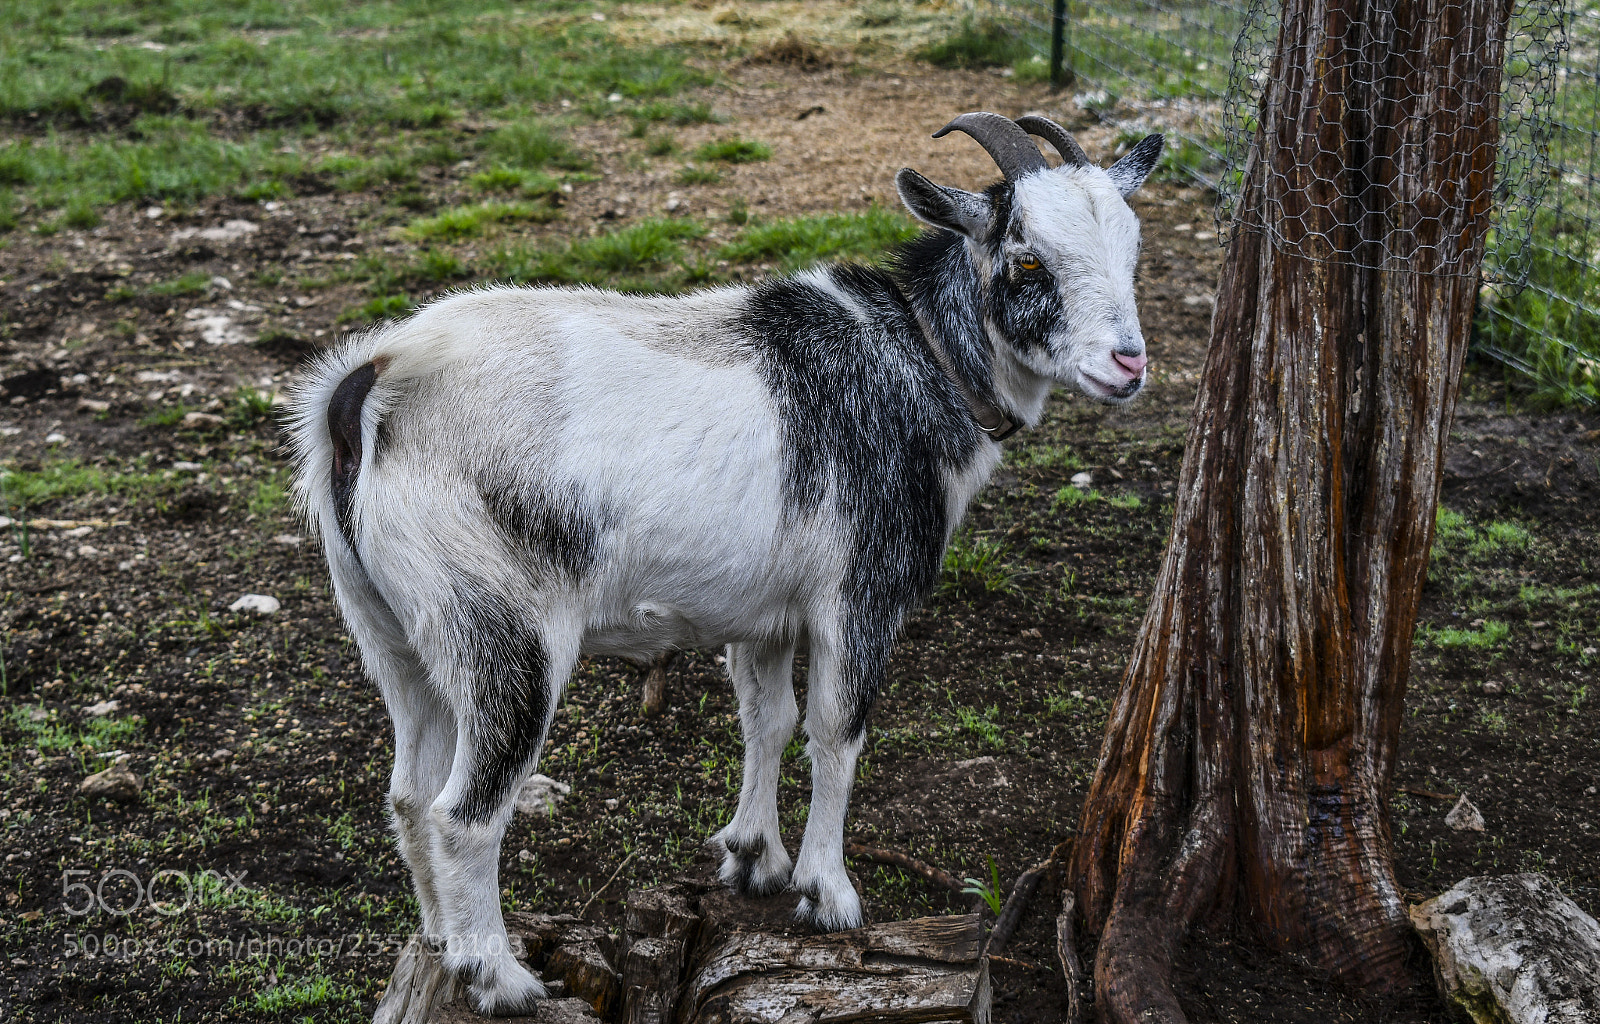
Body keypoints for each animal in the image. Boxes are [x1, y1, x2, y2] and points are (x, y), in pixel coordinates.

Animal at [285, 112, 1162, 1016]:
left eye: (1133, 249)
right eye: (1028, 259)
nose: (1129, 364)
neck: (917, 360)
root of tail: (370, 386)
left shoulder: (762, 612)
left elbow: (766, 718)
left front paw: (754, 858)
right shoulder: (860, 595)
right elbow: (836, 729)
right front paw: (827, 893)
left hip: (392, 631)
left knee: (409, 793)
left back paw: (440, 942)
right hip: (501, 630)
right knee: (465, 811)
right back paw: (497, 977)